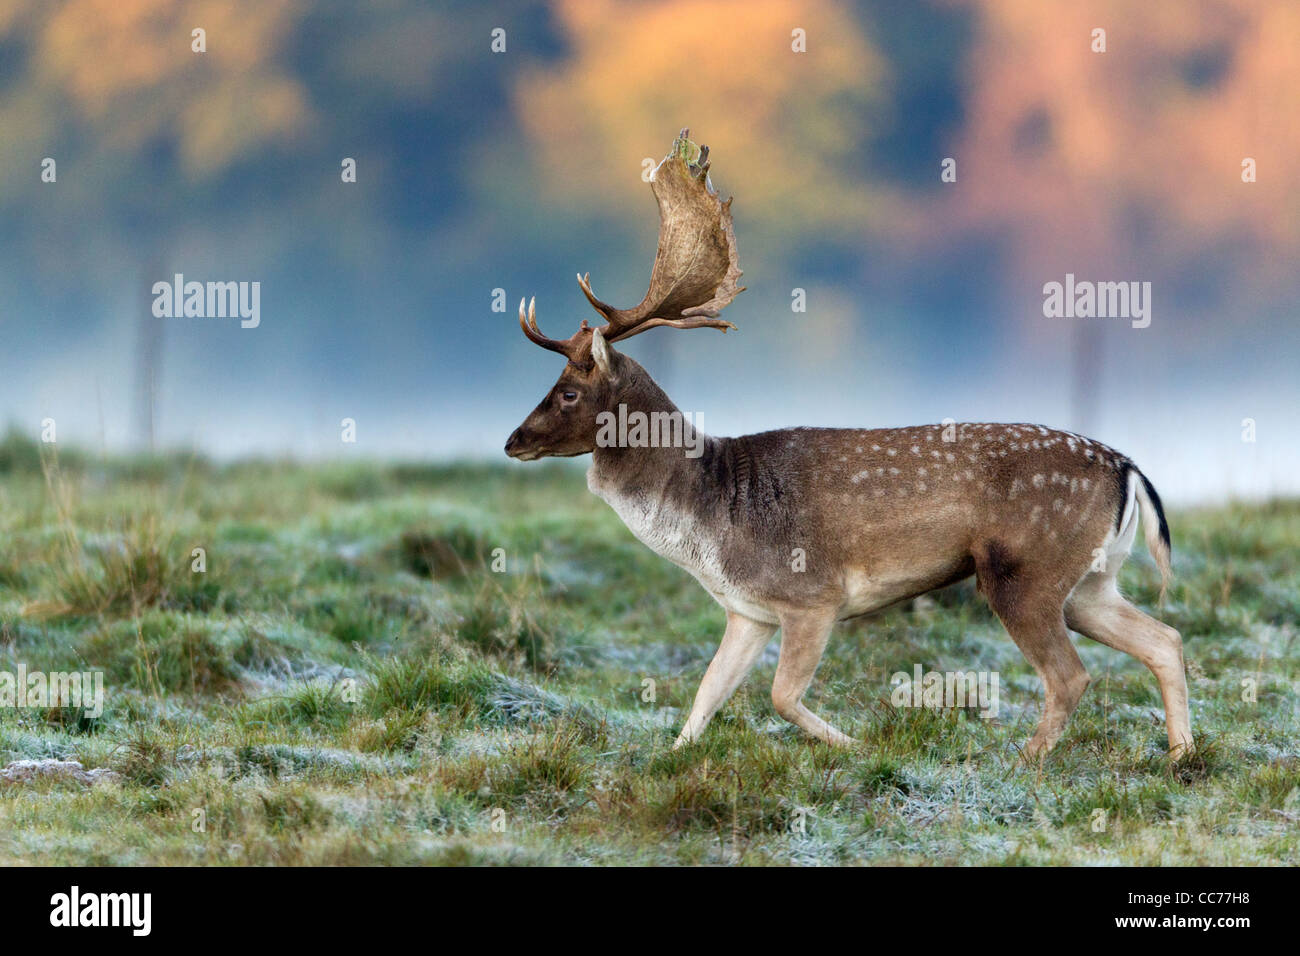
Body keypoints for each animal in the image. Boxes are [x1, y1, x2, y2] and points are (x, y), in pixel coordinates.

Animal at [501, 130, 1190, 764]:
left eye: (567, 390)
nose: (512, 441)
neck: (710, 519)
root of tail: (1128, 469)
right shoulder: (749, 611)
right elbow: (706, 694)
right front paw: (670, 758)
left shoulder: (813, 595)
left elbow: (780, 696)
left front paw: (858, 747)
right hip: (1091, 581)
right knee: (1166, 639)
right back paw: (1181, 754)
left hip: (1025, 569)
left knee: (1072, 674)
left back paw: (1026, 762)